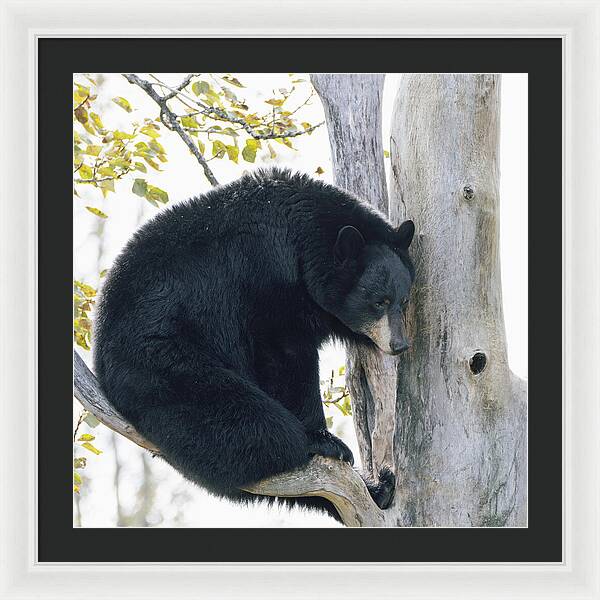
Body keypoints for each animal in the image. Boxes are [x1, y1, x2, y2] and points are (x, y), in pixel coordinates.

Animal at [95, 169, 412, 520]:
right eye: (379, 302)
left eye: (403, 300)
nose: (399, 345)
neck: (302, 242)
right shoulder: (265, 278)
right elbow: (284, 356)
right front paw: (322, 436)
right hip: (163, 362)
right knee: (253, 424)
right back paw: (309, 445)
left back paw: (379, 488)